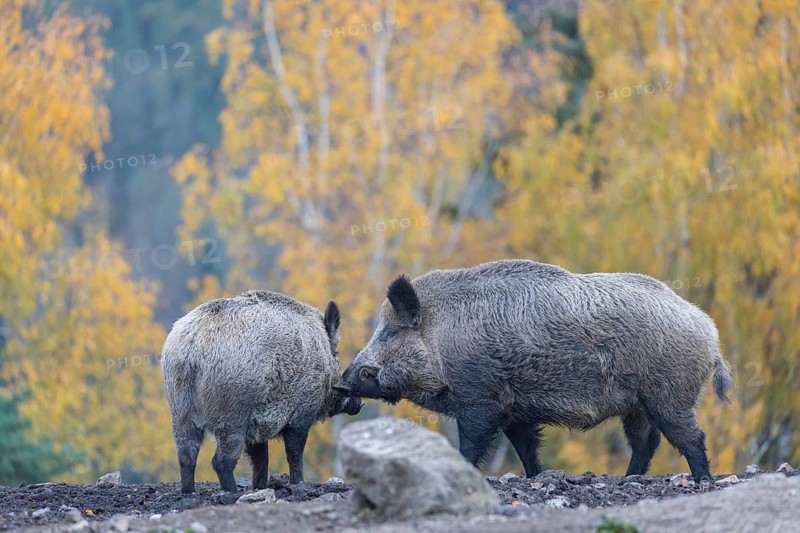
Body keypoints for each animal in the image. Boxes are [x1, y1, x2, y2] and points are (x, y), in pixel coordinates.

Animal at [162, 290, 363, 493]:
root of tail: (191, 352)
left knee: (186, 455)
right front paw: (299, 485)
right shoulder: (301, 414)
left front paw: (260, 487)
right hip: (232, 415)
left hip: (179, 412)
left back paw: (189, 492)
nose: (359, 403)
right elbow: (294, 453)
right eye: (336, 355)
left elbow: (261, 458)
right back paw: (232, 492)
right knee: (221, 461)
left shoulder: (257, 427)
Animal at [337, 259, 734, 483]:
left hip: (668, 396)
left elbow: (472, 444)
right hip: (637, 405)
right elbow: (526, 448)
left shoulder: (481, 399)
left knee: (690, 437)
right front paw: (537, 477)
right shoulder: (514, 410)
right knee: (645, 442)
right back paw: (627, 478)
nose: (342, 384)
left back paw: (701, 480)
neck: (442, 336)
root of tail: (710, 332)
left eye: (391, 331)